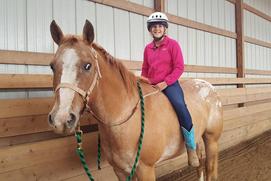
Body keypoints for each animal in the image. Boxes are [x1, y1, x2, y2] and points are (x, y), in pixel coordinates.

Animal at [48, 19, 223, 181]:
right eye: (52, 66)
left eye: (87, 65)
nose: (61, 119)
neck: (126, 117)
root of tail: (209, 87)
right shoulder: (120, 171)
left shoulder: (146, 169)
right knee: (199, 164)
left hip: (212, 140)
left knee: (210, 170)